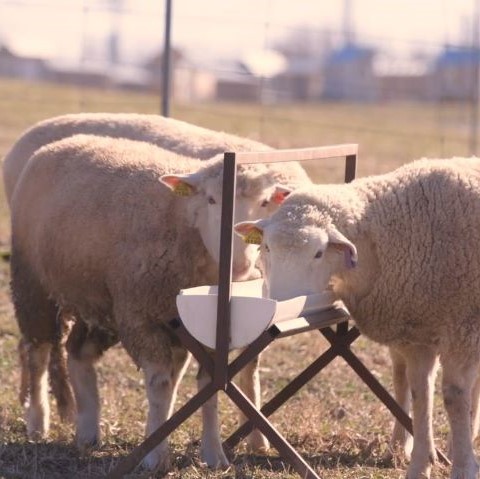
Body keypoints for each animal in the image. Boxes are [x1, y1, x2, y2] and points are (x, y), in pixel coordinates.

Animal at [12, 134, 312, 472]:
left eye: (264, 203)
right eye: (211, 200)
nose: (240, 266)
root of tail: (65, 142)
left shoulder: (203, 331)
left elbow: (206, 388)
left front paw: (212, 454)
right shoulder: (140, 316)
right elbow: (159, 385)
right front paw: (155, 455)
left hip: (99, 299)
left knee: (78, 352)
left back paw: (87, 431)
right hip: (33, 285)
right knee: (38, 353)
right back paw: (38, 423)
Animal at [236, 158, 480, 479]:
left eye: (318, 253)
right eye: (266, 247)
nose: (281, 304)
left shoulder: (461, 327)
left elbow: (453, 397)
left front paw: (463, 467)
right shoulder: (418, 335)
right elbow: (420, 396)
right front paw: (418, 467)